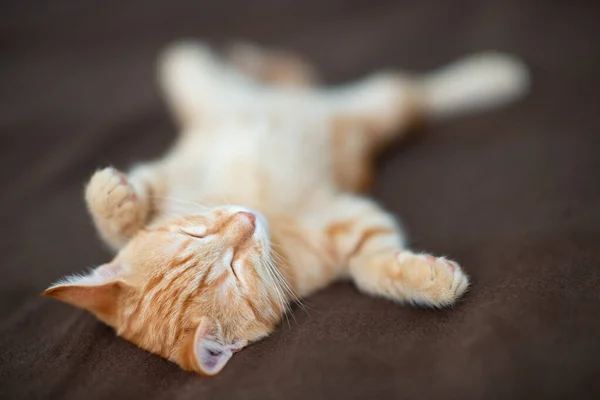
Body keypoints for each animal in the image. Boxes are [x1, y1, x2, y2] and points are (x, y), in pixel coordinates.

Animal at [43, 42, 528, 376]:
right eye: (235, 271)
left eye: (194, 232)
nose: (244, 219)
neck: (265, 212)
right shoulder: (347, 224)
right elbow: (368, 267)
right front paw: (430, 281)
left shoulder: (170, 176)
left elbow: (125, 215)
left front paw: (111, 195)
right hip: (368, 115)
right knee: (407, 94)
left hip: (201, 80)